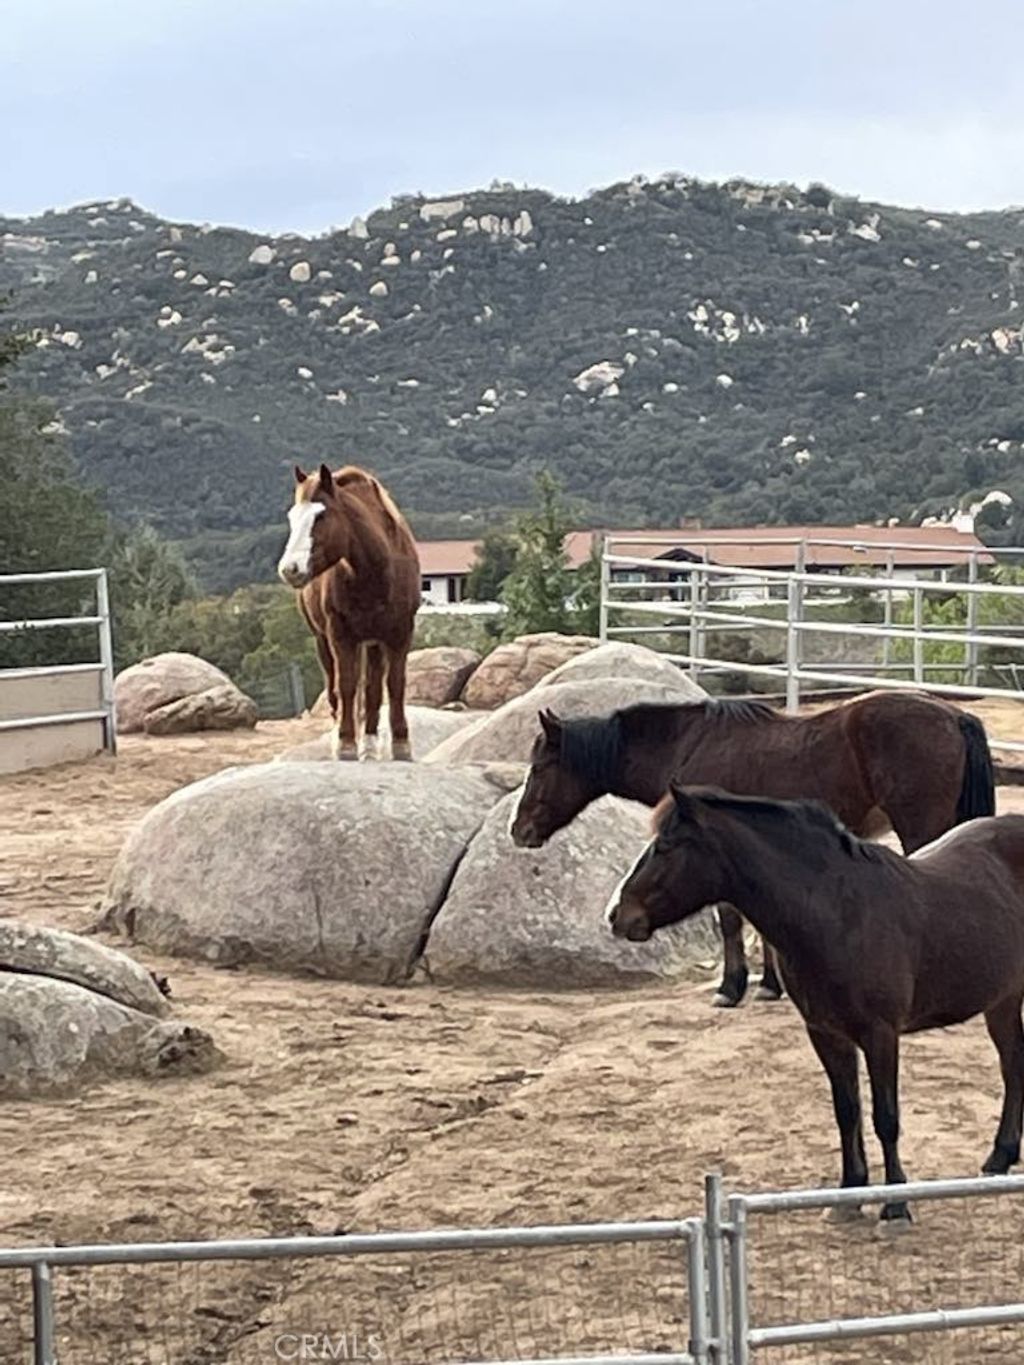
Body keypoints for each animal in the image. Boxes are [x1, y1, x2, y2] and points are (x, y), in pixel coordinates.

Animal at [277, 463, 420, 760]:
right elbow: (346, 685)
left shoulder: (400, 633)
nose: (290, 569)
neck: (376, 572)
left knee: (373, 688)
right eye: (292, 517)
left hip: (373, 641)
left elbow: (394, 685)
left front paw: (401, 744)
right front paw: (345, 743)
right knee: (334, 687)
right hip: (323, 640)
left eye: (320, 516)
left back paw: (370, 742)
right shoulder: (339, 634)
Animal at [510, 690, 995, 1006]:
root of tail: (954, 717)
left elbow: (729, 920)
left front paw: (732, 987)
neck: (689, 745)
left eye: (540, 767)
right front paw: (769, 984)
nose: (519, 830)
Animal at [606, 784, 1024, 1220]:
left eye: (667, 846)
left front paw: (895, 1204)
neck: (839, 914)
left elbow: (886, 1118)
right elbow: (847, 1111)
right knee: (1014, 1064)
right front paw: (848, 1196)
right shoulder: (825, 1032)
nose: (617, 914)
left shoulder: (880, 1035)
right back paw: (999, 1157)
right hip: (1002, 1000)